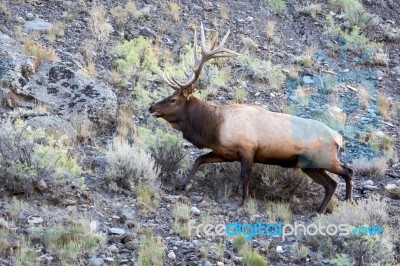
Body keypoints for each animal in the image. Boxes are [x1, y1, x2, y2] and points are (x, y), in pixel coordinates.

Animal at [150, 23, 354, 214]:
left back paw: (347, 201)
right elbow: (199, 160)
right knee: (331, 184)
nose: (152, 107)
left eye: (172, 99)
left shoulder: (248, 148)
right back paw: (320, 210)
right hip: (310, 165)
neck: (215, 126)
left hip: (323, 159)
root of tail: (338, 138)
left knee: (348, 172)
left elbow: (244, 176)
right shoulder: (224, 152)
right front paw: (186, 184)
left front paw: (243, 201)